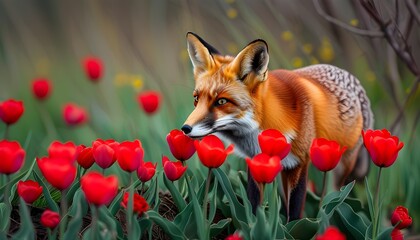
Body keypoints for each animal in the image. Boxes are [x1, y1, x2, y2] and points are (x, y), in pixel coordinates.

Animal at [180, 32, 374, 221]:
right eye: (196, 99)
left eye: (221, 101)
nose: (185, 128)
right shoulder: (256, 161)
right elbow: (254, 203)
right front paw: (255, 224)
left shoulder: (300, 162)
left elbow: (295, 211)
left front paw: (292, 227)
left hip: (340, 165)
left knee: (333, 192)